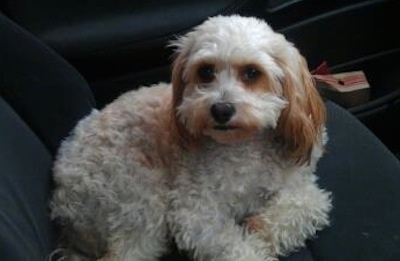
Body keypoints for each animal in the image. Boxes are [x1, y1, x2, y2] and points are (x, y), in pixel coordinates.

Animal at [50, 14, 332, 260]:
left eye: (252, 73)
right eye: (205, 71)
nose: (221, 109)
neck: (244, 146)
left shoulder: (300, 187)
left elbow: (308, 206)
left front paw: (258, 231)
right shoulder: (194, 213)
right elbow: (233, 246)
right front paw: (253, 243)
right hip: (139, 196)